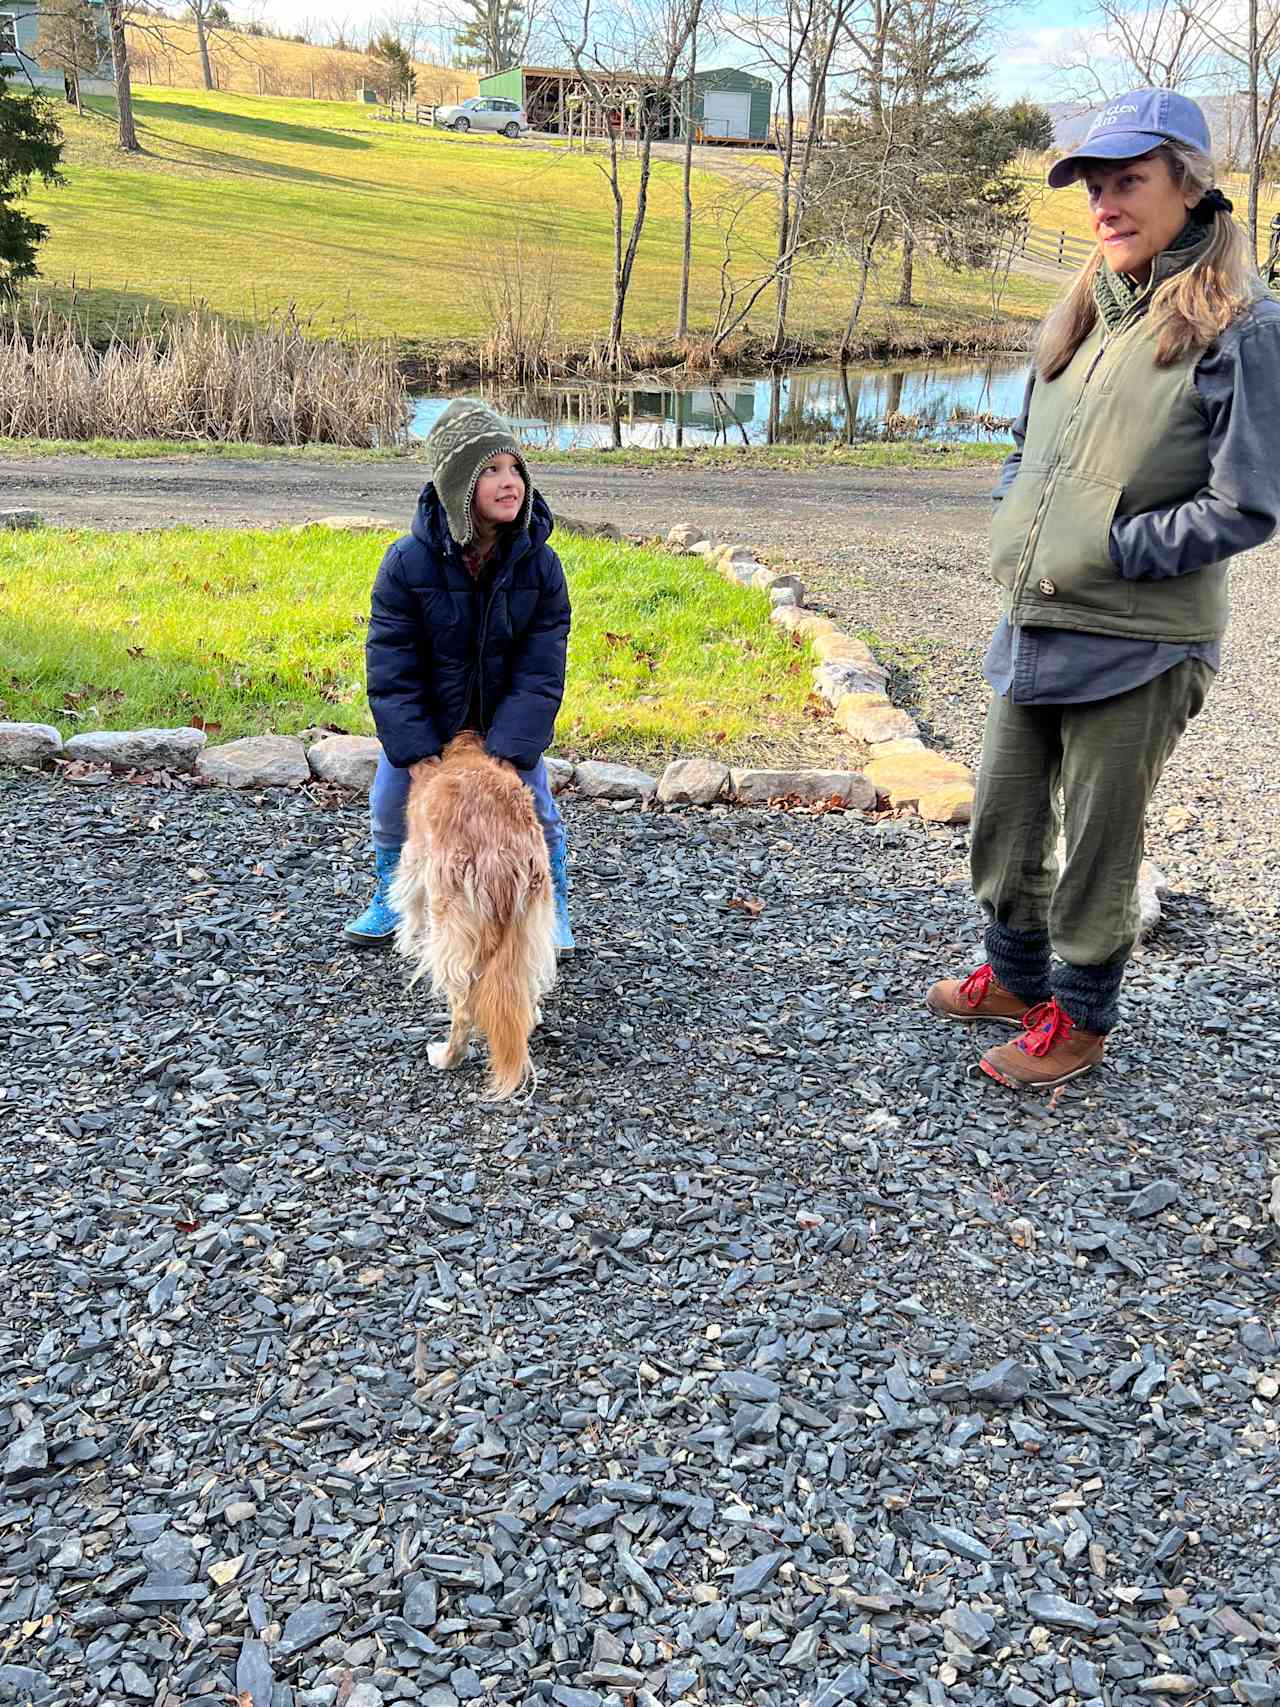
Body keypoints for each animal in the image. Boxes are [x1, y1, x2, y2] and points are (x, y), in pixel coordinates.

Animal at [385, 727, 556, 1099]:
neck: (467, 749)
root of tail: (502, 857)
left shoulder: (414, 857)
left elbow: (408, 903)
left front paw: (406, 942)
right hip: (530, 929)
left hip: (453, 934)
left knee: (463, 1012)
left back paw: (447, 1057)